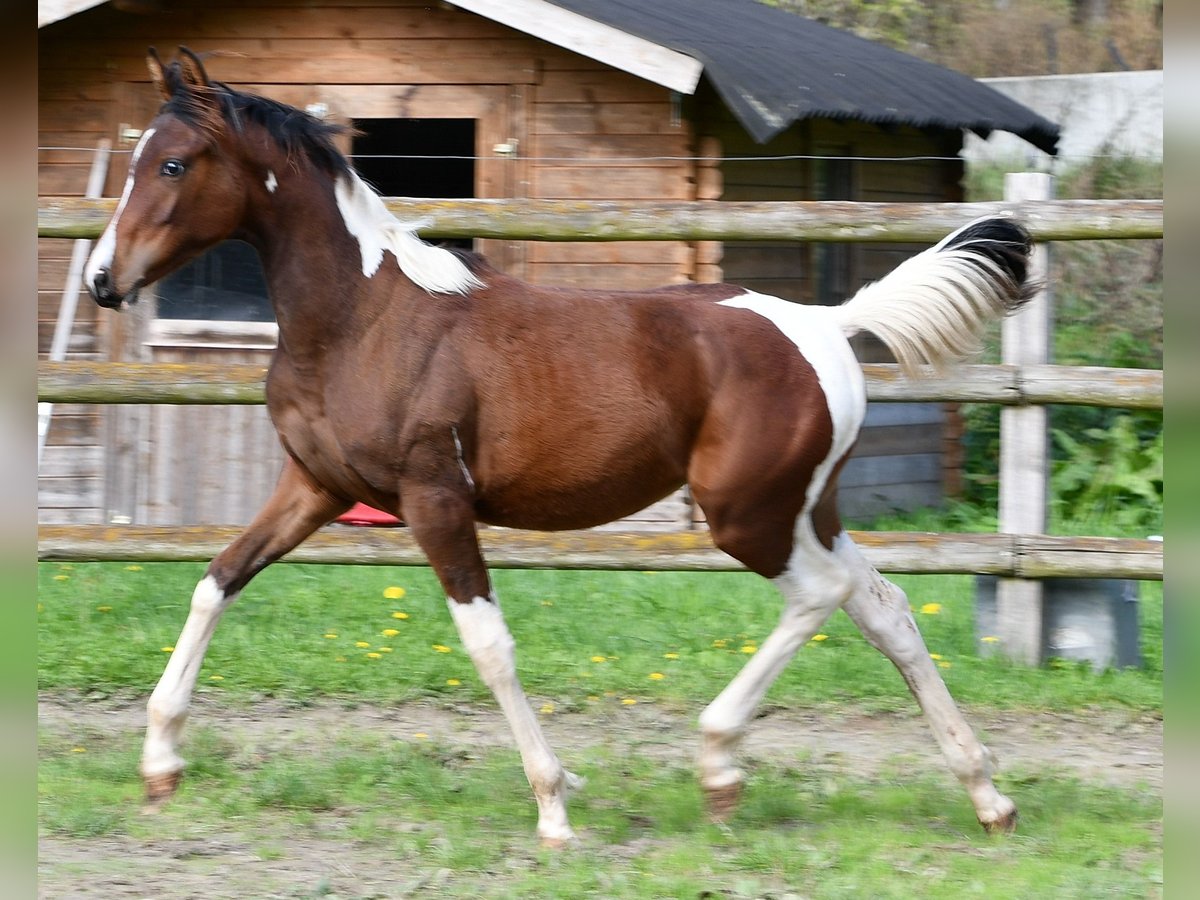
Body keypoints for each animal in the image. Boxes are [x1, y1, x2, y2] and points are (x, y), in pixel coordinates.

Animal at [85, 47, 1034, 846]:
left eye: (173, 165)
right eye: (135, 159)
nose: (103, 280)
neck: (362, 318)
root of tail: (827, 323)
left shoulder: (435, 498)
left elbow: (488, 645)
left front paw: (554, 804)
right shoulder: (314, 487)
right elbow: (216, 580)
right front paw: (159, 764)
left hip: (745, 513)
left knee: (822, 596)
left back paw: (720, 763)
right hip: (806, 506)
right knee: (885, 608)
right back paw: (986, 794)